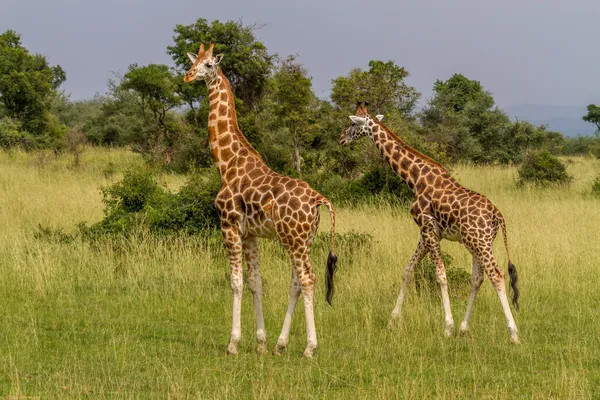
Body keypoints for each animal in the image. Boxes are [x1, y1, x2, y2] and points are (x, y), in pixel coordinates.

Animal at [183, 43, 338, 356]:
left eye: (209, 65)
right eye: (195, 61)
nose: (188, 76)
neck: (227, 163)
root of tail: (319, 200)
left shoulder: (229, 226)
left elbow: (236, 282)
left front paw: (233, 343)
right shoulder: (251, 234)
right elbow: (256, 282)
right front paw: (261, 342)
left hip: (295, 240)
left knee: (308, 279)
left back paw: (310, 348)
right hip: (304, 240)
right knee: (296, 282)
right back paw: (281, 344)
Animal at [340, 102, 516, 344]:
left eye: (351, 123)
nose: (341, 139)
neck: (415, 178)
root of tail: (496, 214)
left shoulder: (427, 227)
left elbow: (440, 276)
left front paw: (447, 327)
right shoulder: (428, 232)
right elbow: (408, 270)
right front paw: (392, 320)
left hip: (479, 241)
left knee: (496, 275)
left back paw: (513, 334)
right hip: (478, 242)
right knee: (478, 279)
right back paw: (464, 328)